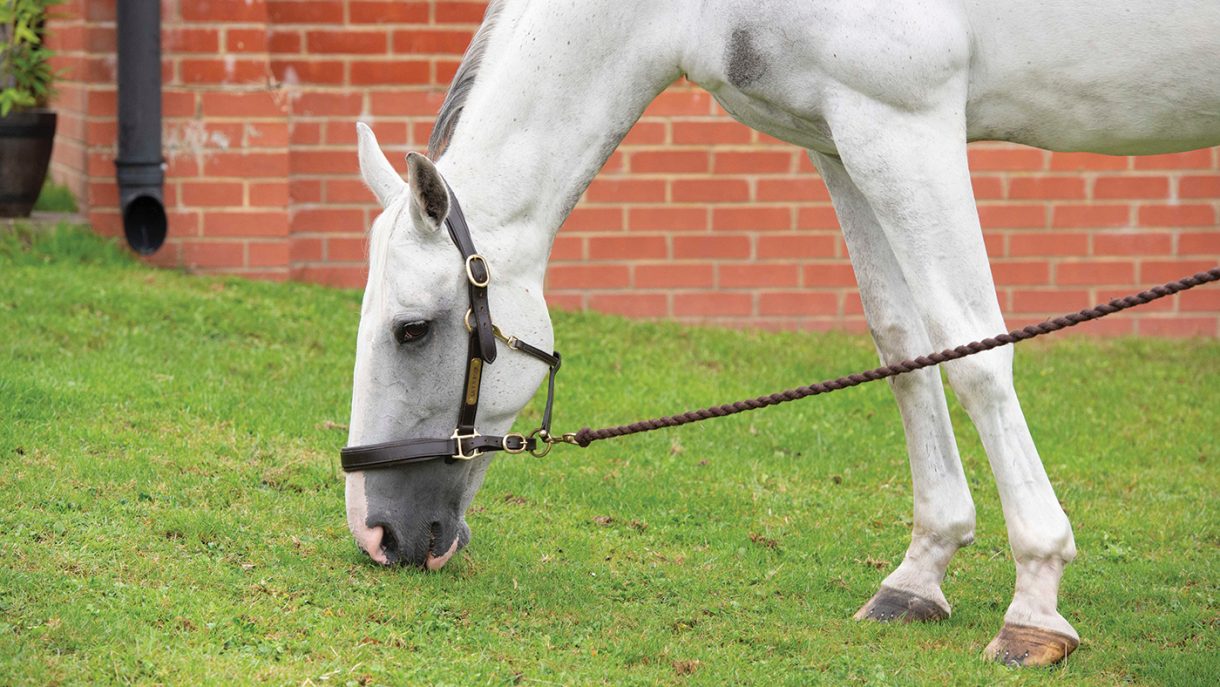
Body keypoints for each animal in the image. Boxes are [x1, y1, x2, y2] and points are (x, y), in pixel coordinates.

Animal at [343, 0, 1220, 667]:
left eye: (412, 330)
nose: (375, 534)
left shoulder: (906, 123)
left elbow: (976, 355)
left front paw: (1035, 603)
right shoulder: (844, 138)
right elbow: (906, 345)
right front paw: (919, 573)